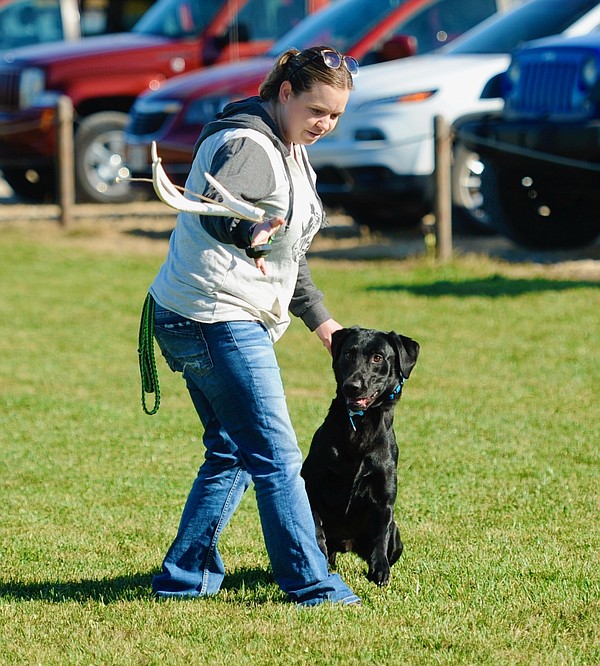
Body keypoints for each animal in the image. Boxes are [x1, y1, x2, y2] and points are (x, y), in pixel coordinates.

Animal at [302, 324, 420, 584]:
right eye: (348, 354)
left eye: (377, 358)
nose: (352, 386)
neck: (360, 427)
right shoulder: (312, 487)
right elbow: (317, 531)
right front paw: (321, 563)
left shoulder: (384, 499)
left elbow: (380, 536)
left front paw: (380, 570)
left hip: (397, 536)